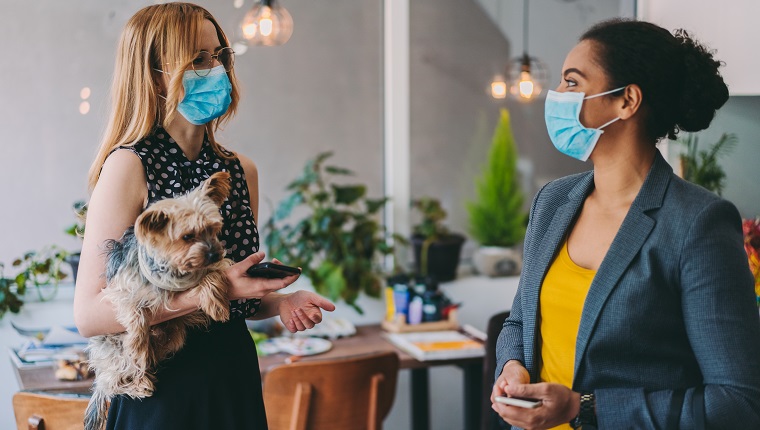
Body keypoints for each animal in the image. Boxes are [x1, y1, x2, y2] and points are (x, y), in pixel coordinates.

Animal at [83, 171, 235, 430]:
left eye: (213, 228)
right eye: (187, 236)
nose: (215, 253)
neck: (173, 266)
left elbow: (212, 274)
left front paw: (216, 301)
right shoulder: (118, 290)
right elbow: (135, 312)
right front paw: (138, 344)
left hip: (175, 337)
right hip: (115, 352)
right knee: (112, 380)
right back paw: (139, 382)